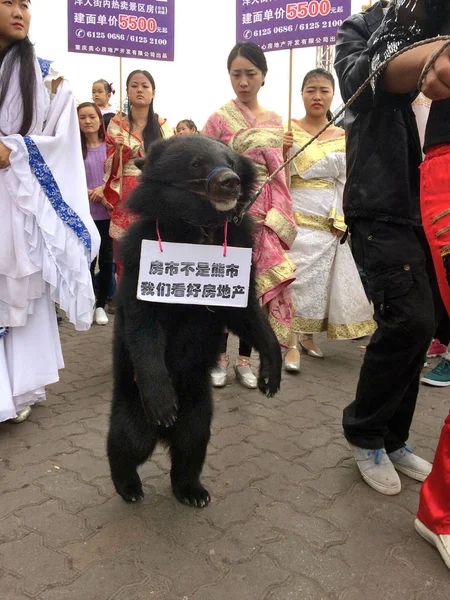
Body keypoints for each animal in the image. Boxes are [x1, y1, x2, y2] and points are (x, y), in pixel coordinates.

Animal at [108, 135, 282, 506]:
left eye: (230, 161)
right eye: (196, 163)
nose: (230, 181)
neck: (199, 229)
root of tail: (164, 435)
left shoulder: (240, 257)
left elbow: (247, 314)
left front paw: (270, 375)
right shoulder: (140, 259)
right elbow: (144, 325)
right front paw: (163, 401)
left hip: (199, 410)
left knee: (191, 446)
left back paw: (192, 491)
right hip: (133, 404)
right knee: (125, 441)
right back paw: (129, 485)